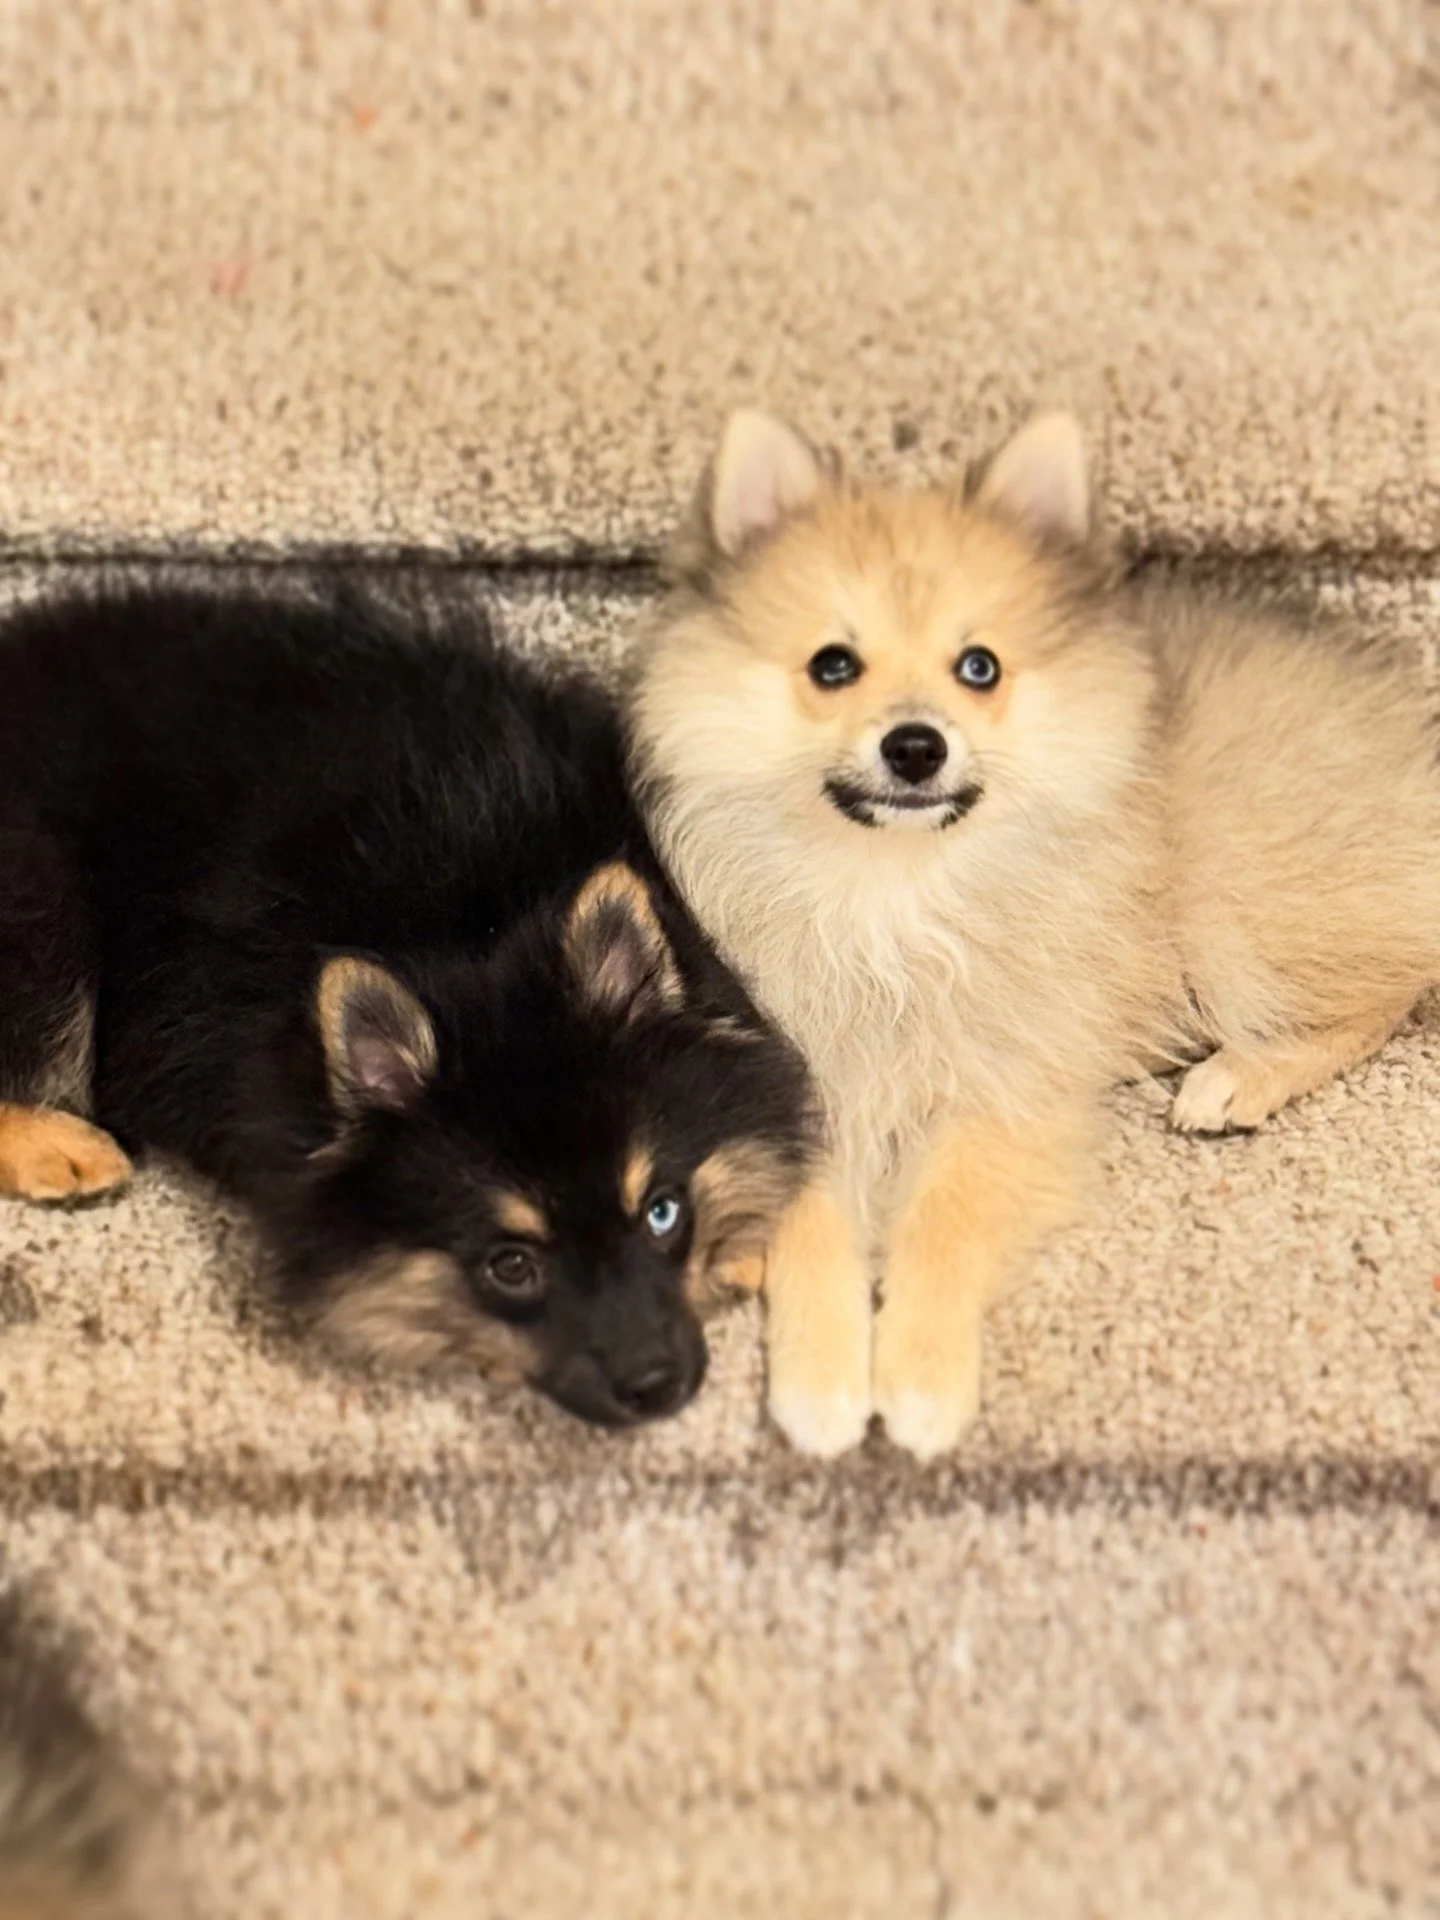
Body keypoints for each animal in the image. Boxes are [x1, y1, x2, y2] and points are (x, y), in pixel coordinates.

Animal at [0, 582, 815, 1429]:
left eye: (662, 1210)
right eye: (511, 1266)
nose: (659, 1385)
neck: (470, 909)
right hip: (42, 886)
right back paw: (63, 1146)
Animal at [628, 407, 1440, 1459]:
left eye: (980, 668)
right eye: (832, 667)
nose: (916, 744)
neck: (897, 893)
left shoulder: (1005, 1091)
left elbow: (942, 1224)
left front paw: (921, 1380)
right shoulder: (806, 1080)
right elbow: (810, 1225)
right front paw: (821, 1377)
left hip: (1238, 902)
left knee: (1388, 988)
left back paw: (1235, 1078)